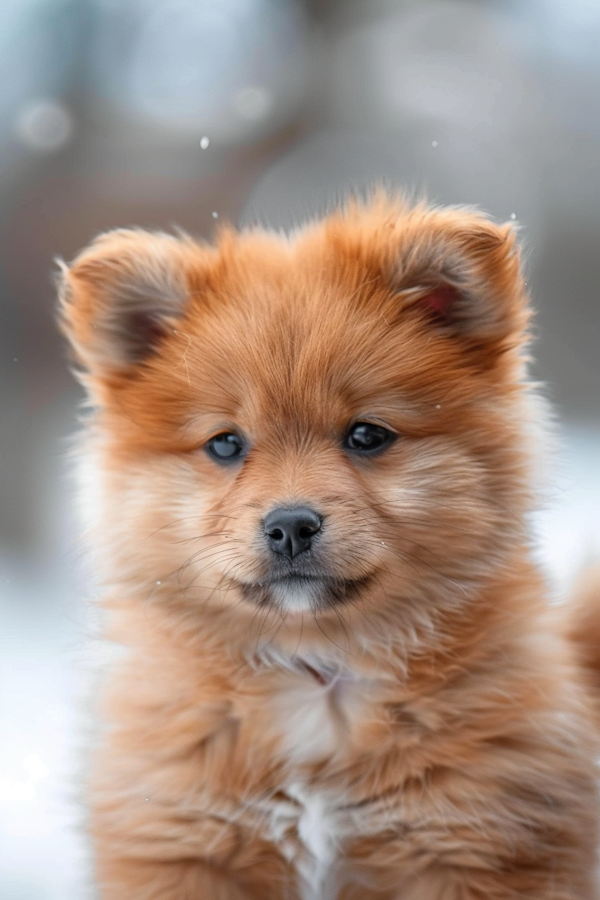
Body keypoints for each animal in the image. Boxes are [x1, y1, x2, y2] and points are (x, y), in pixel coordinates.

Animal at [59, 199, 600, 900]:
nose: (290, 525)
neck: (318, 677)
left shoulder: (470, 844)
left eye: (367, 435)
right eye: (226, 444)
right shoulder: (183, 845)